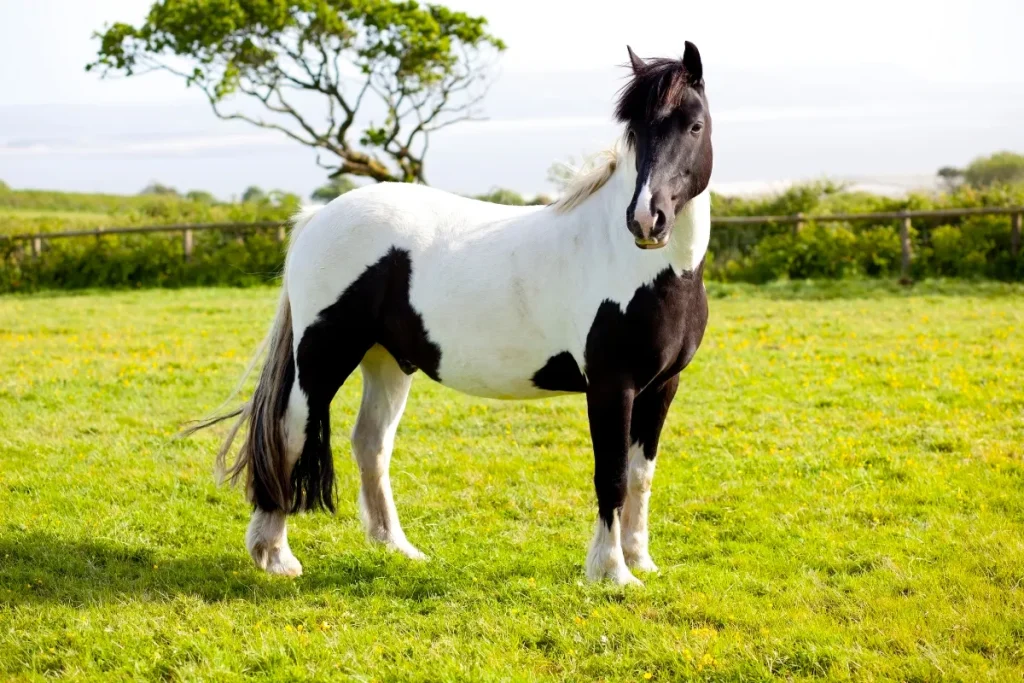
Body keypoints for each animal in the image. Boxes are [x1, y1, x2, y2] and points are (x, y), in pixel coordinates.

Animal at [188, 42, 713, 586]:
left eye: (694, 125)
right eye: (634, 134)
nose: (647, 220)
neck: (641, 268)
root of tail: (318, 217)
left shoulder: (662, 386)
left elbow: (640, 474)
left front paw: (639, 559)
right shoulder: (613, 386)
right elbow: (610, 475)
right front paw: (611, 572)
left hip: (386, 360)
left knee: (370, 443)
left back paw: (395, 546)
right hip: (321, 356)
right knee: (291, 432)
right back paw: (274, 555)